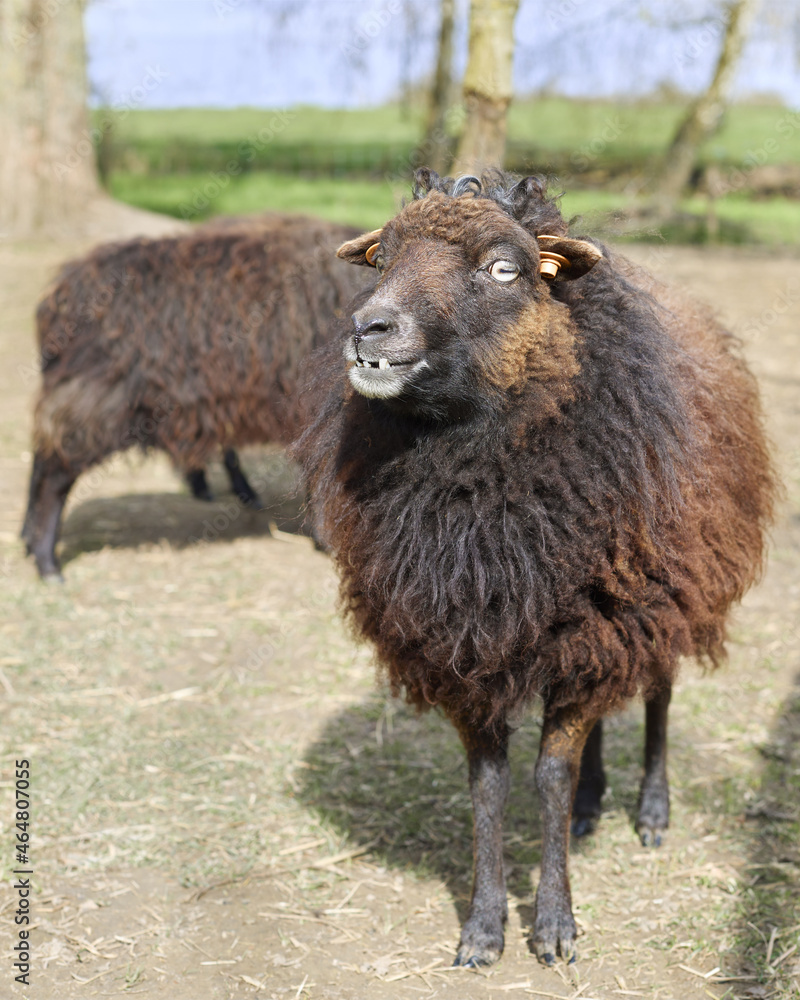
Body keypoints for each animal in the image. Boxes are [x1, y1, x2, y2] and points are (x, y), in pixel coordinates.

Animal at [23, 215, 371, 579]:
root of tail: (58, 297)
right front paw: (326, 540)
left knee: (42, 457)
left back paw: (29, 542)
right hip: (95, 400)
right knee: (54, 471)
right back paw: (47, 562)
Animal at [292, 170, 777, 967]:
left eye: (503, 269)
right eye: (381, 258)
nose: (369, 328)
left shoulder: (611, 616)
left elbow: (550, 775)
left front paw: (553, 924)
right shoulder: (465, 644)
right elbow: (489, 786)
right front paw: (484, 928)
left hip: (659, 595)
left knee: (658, 694)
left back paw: (651, 808)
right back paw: (593, 806)